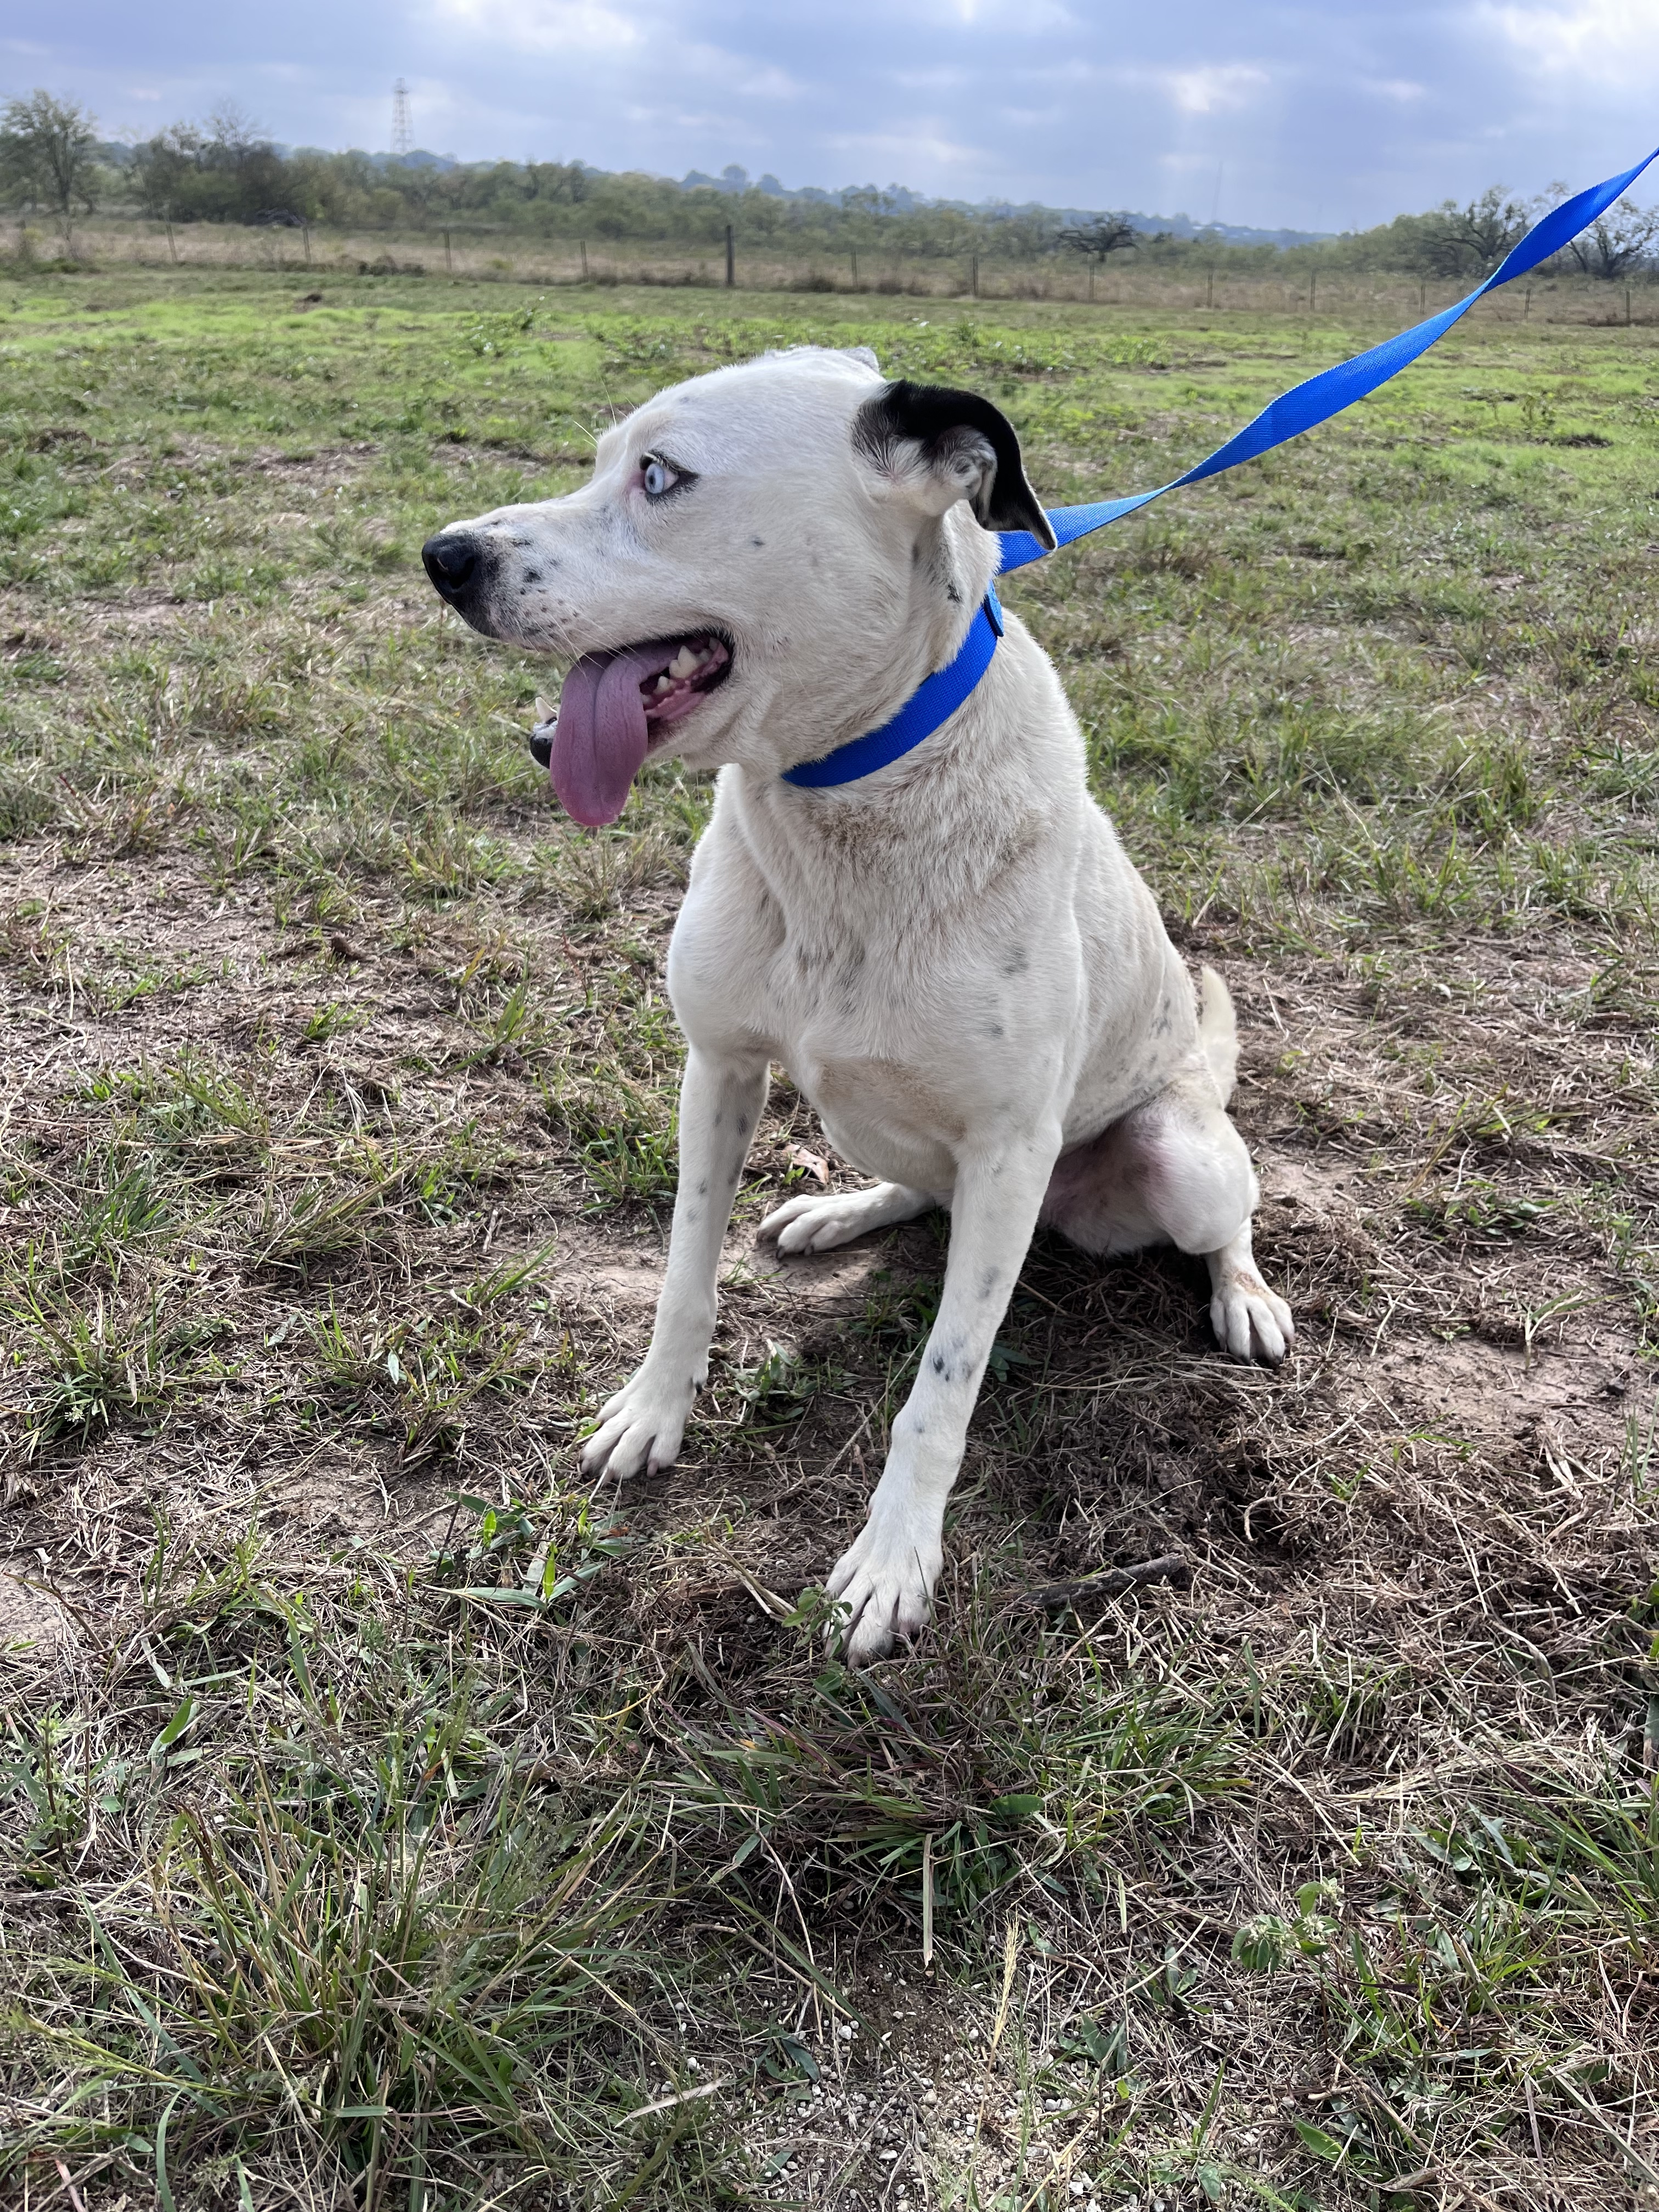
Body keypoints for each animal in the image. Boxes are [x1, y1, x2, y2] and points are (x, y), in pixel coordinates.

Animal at [422, 345, 1291, 1663]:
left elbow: (943, 1383)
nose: (442, 556)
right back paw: (841, 1211)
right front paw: (652, 1412)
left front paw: (892, 1561)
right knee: (918, 1189)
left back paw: (1243, 1294)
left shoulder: (1011, 1146)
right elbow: (683, 1275)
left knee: (1220, 1216)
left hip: (1174, 1152)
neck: (842, 799)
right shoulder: (718, 1068)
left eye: (659, 476)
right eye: (598, 457)